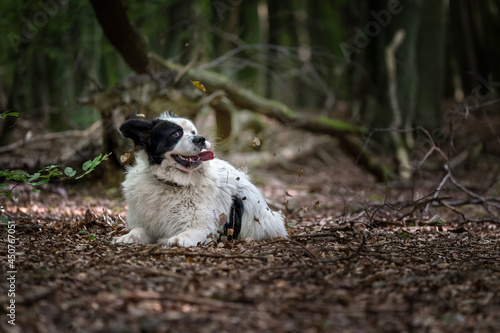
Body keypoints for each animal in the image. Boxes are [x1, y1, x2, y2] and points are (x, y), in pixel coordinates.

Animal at [112, 113, 288, 245]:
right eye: (175, 134)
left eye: (193, 132)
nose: (201, 139)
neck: (171, 183)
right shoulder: (145, 223)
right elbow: (137, 230)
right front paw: (125, 237)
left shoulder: (204, 228)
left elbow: (186, 234)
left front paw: (175, 239)